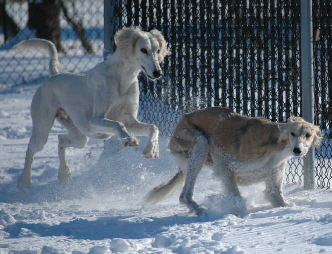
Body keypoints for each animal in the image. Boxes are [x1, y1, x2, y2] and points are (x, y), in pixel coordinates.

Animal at [15, 26, 169, 192]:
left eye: (157, 50)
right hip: (43, 128)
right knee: (31, 149)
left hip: (80, 135)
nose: (158, 73)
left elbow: (153, 127)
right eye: (143, 50)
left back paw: (64, 173)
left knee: (61, 139)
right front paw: (128, 139)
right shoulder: (95, 120)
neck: (123, 77)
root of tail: (53, 76)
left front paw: (152, 150)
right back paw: (24, 181)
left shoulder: (129, 121)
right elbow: (118, 124)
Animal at [145, 107, 322, 216]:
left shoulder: (274, 181)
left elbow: (277, 198)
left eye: (308, 135)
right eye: (293, 133)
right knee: (185, 195)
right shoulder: (226, 168)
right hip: (199, 144)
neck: (276, 146)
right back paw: (201, 211)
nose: (297, 150)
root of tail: (184, 117)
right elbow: (238, 199)